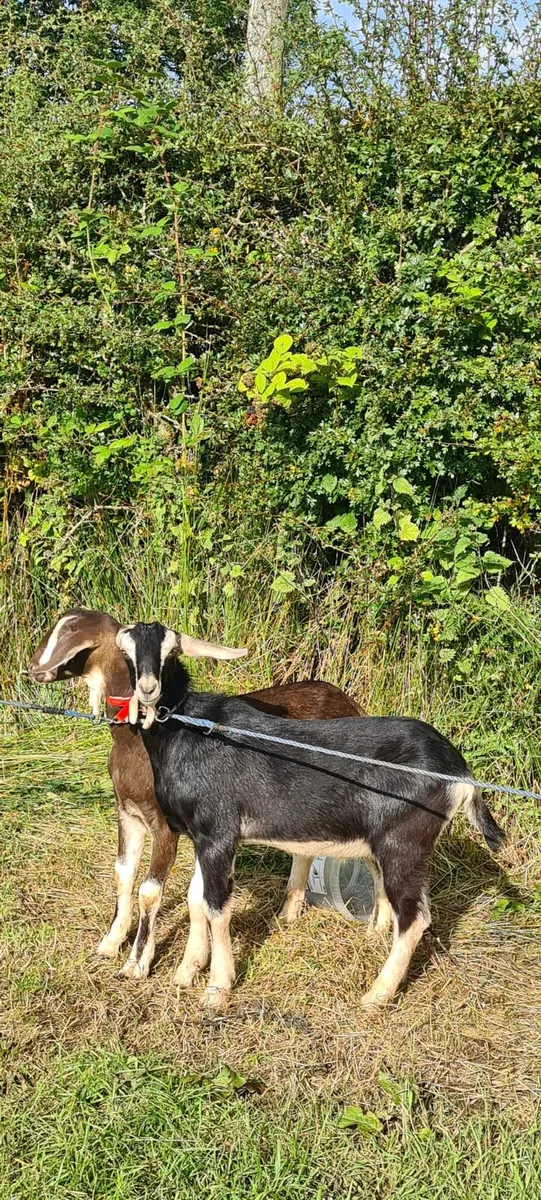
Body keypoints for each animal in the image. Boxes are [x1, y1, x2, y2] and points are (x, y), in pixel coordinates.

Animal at [29, 608, 363, 978]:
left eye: (72, 633)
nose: (33, 668)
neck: (136, 747)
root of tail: (349, 702)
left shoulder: (166, 826)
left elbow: (151, 892)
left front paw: (139, 962)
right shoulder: (127, 814)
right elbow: (123, 875)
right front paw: (111, 943)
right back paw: (287, 914)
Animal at [116, 620, 505, 1010]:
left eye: (170, 653)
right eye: (127, 652)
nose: (148, 690)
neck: (187, 731)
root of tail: (459, 770)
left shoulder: (218, 834)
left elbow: (216, 907)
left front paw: (217, 988)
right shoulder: (199, 834)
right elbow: (195, 899)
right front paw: (186, 972)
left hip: (403, 842)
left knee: (415, 917)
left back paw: (377, 994)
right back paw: (374, 935)